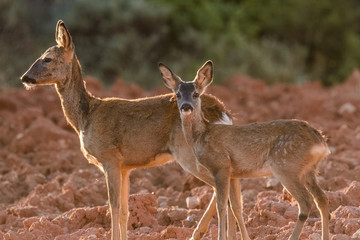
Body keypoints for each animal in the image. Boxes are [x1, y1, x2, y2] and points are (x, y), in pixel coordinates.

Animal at [20, 20, 239, 240]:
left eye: (47, 58)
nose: (25, 77)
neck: (86, 117)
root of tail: (222, 111)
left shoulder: (110, 159)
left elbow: (114, 207)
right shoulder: (125, 167)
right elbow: (125, 210)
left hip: (190, 154)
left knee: (221, 190)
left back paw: (199, 233)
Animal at [161, 60, 332, 240]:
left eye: (196, 94)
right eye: (178, 95)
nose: (186, 106)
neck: (202, 136)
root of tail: (321, 142)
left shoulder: (221, 166)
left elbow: (222, 206)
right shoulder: (233, 174)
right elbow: (236, 206)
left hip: (286, 166)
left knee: (306, 202)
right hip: (309, 170)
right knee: (322, 199)